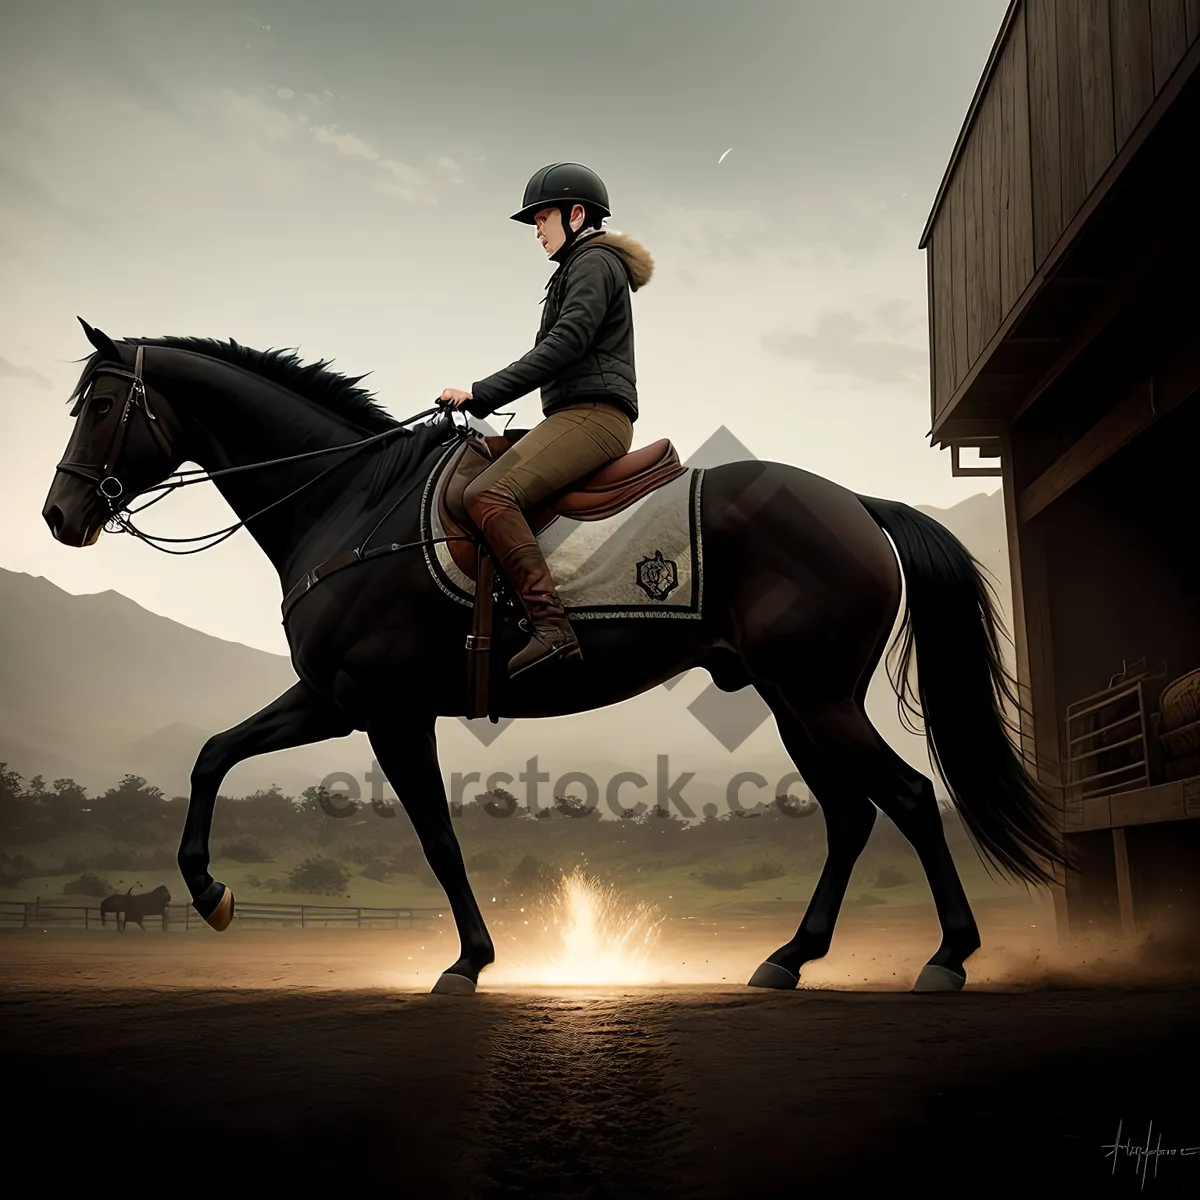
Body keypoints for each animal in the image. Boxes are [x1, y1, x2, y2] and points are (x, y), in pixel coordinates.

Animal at [42, 319, 1065, 993]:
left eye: (103, 404)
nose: (59, 515)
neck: (352, 501)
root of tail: (854, 503)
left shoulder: (380, 709)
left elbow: (436, 837)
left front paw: (468, 962)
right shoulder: (332, 699)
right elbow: (212, 754)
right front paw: (210, 893)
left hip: (817, 698)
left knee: (908, 800)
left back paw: (946, 957)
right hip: (796, 700)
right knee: (852, 816)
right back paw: (788, 959)